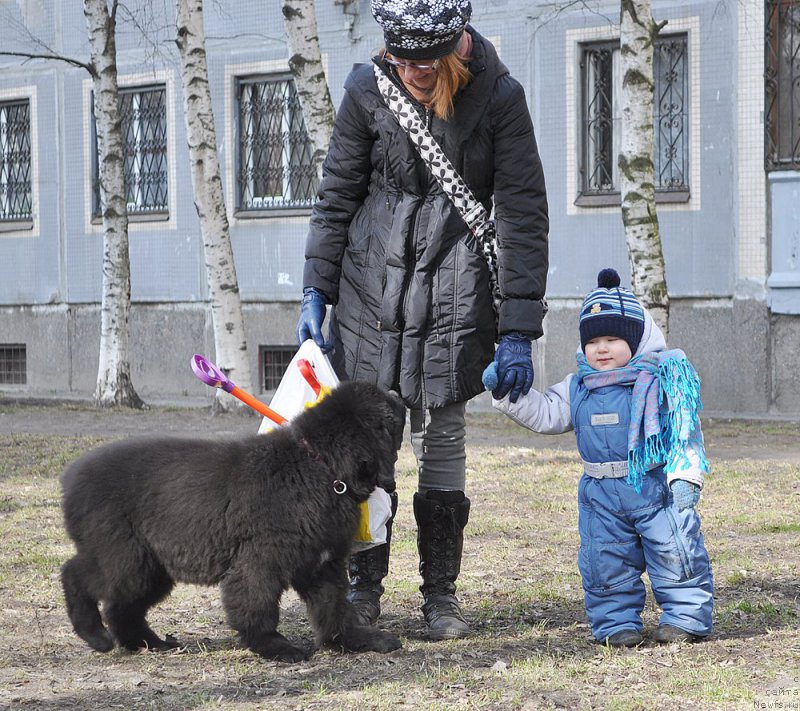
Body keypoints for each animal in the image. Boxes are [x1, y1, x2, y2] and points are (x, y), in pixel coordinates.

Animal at [61, 382, 406, 664]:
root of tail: (71, 477)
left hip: (151, 566)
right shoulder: (260, 561)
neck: (317, 467)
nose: (398, 392)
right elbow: (258, 604)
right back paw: (96, 636)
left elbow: (333, 606)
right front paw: (274, 646)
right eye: (388, 411)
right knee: (75, 574)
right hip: (125, 556)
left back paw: (149, 643)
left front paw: (355, 639)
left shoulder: (323, 563)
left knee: (122, 607)